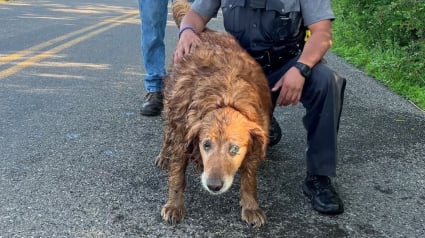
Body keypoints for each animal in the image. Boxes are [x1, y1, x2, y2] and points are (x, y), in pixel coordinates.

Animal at [156, 0, 272, 228]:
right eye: (206, 144)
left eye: (234, 149)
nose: (214, 185)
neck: (226, 96)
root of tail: (205, 30)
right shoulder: (182, 135)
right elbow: (177, 177)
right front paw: (174, 205)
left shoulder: (257, 139)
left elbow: (249, 179)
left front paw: (251, 206)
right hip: (170, 107)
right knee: (167, 134)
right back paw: (163, 156)